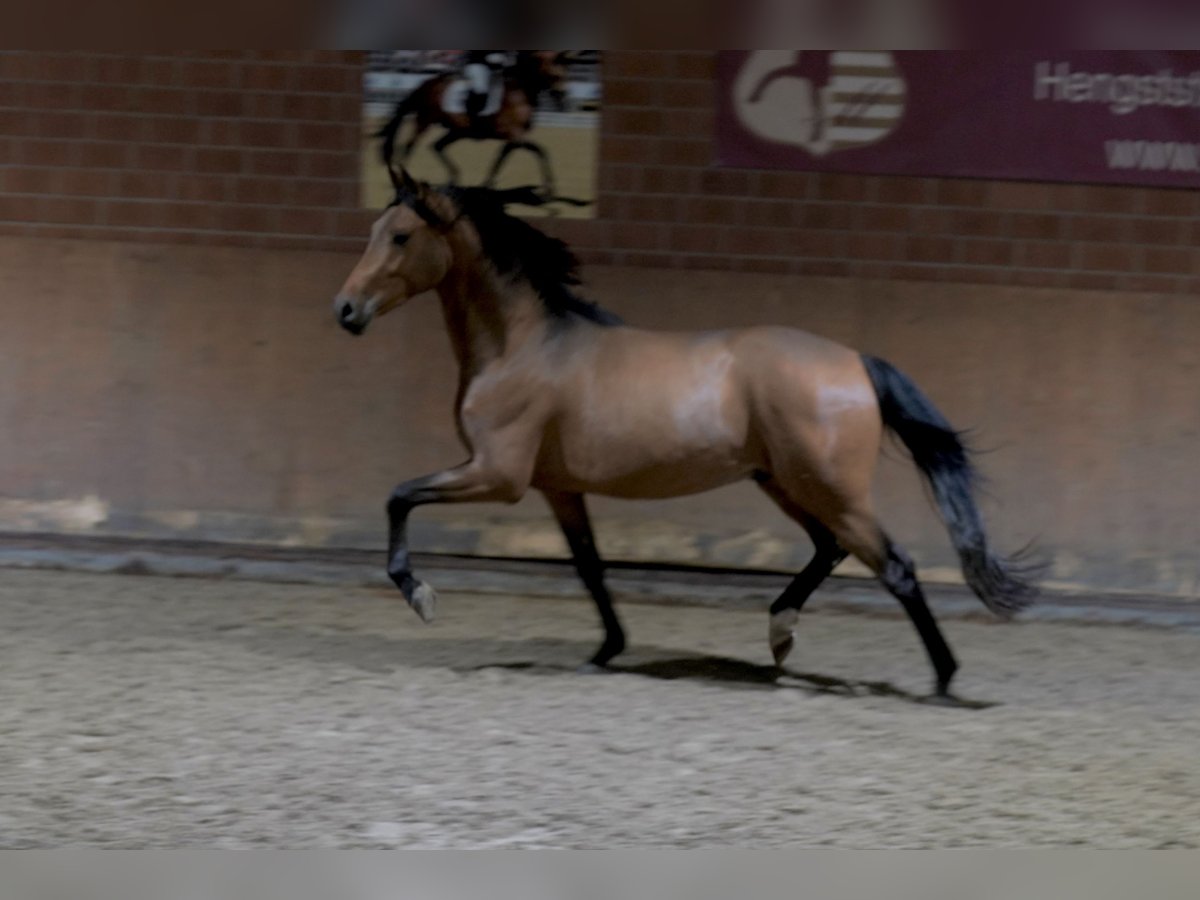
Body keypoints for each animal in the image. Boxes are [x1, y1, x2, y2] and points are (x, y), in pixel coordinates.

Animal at [333, 169, 1036, 700]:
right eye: (371, 231)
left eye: (400, 236)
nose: (345, 311)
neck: (522, 345)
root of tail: (857, 362)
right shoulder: (557, 488)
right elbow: (590, 566)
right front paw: (605, 651)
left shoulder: (495, 475)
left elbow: (399, 496)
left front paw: (420, 595)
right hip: (784, 482)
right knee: (830, 549)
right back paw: (781, 634)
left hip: (828, 488)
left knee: (895, 567)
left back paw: (942, 678)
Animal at [374, 52, 566, 195]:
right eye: (555, 75)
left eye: (564, 73)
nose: (561, 97)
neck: (518, 92)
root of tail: (428, 83)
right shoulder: (513, 134)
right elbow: (538, 151)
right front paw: (549, 189)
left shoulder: (514, 137)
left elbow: (506, 157)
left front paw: (487, 184)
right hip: (425, 121)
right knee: (409, 146)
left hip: (457, 131)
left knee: (437, 145)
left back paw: (453, 181)